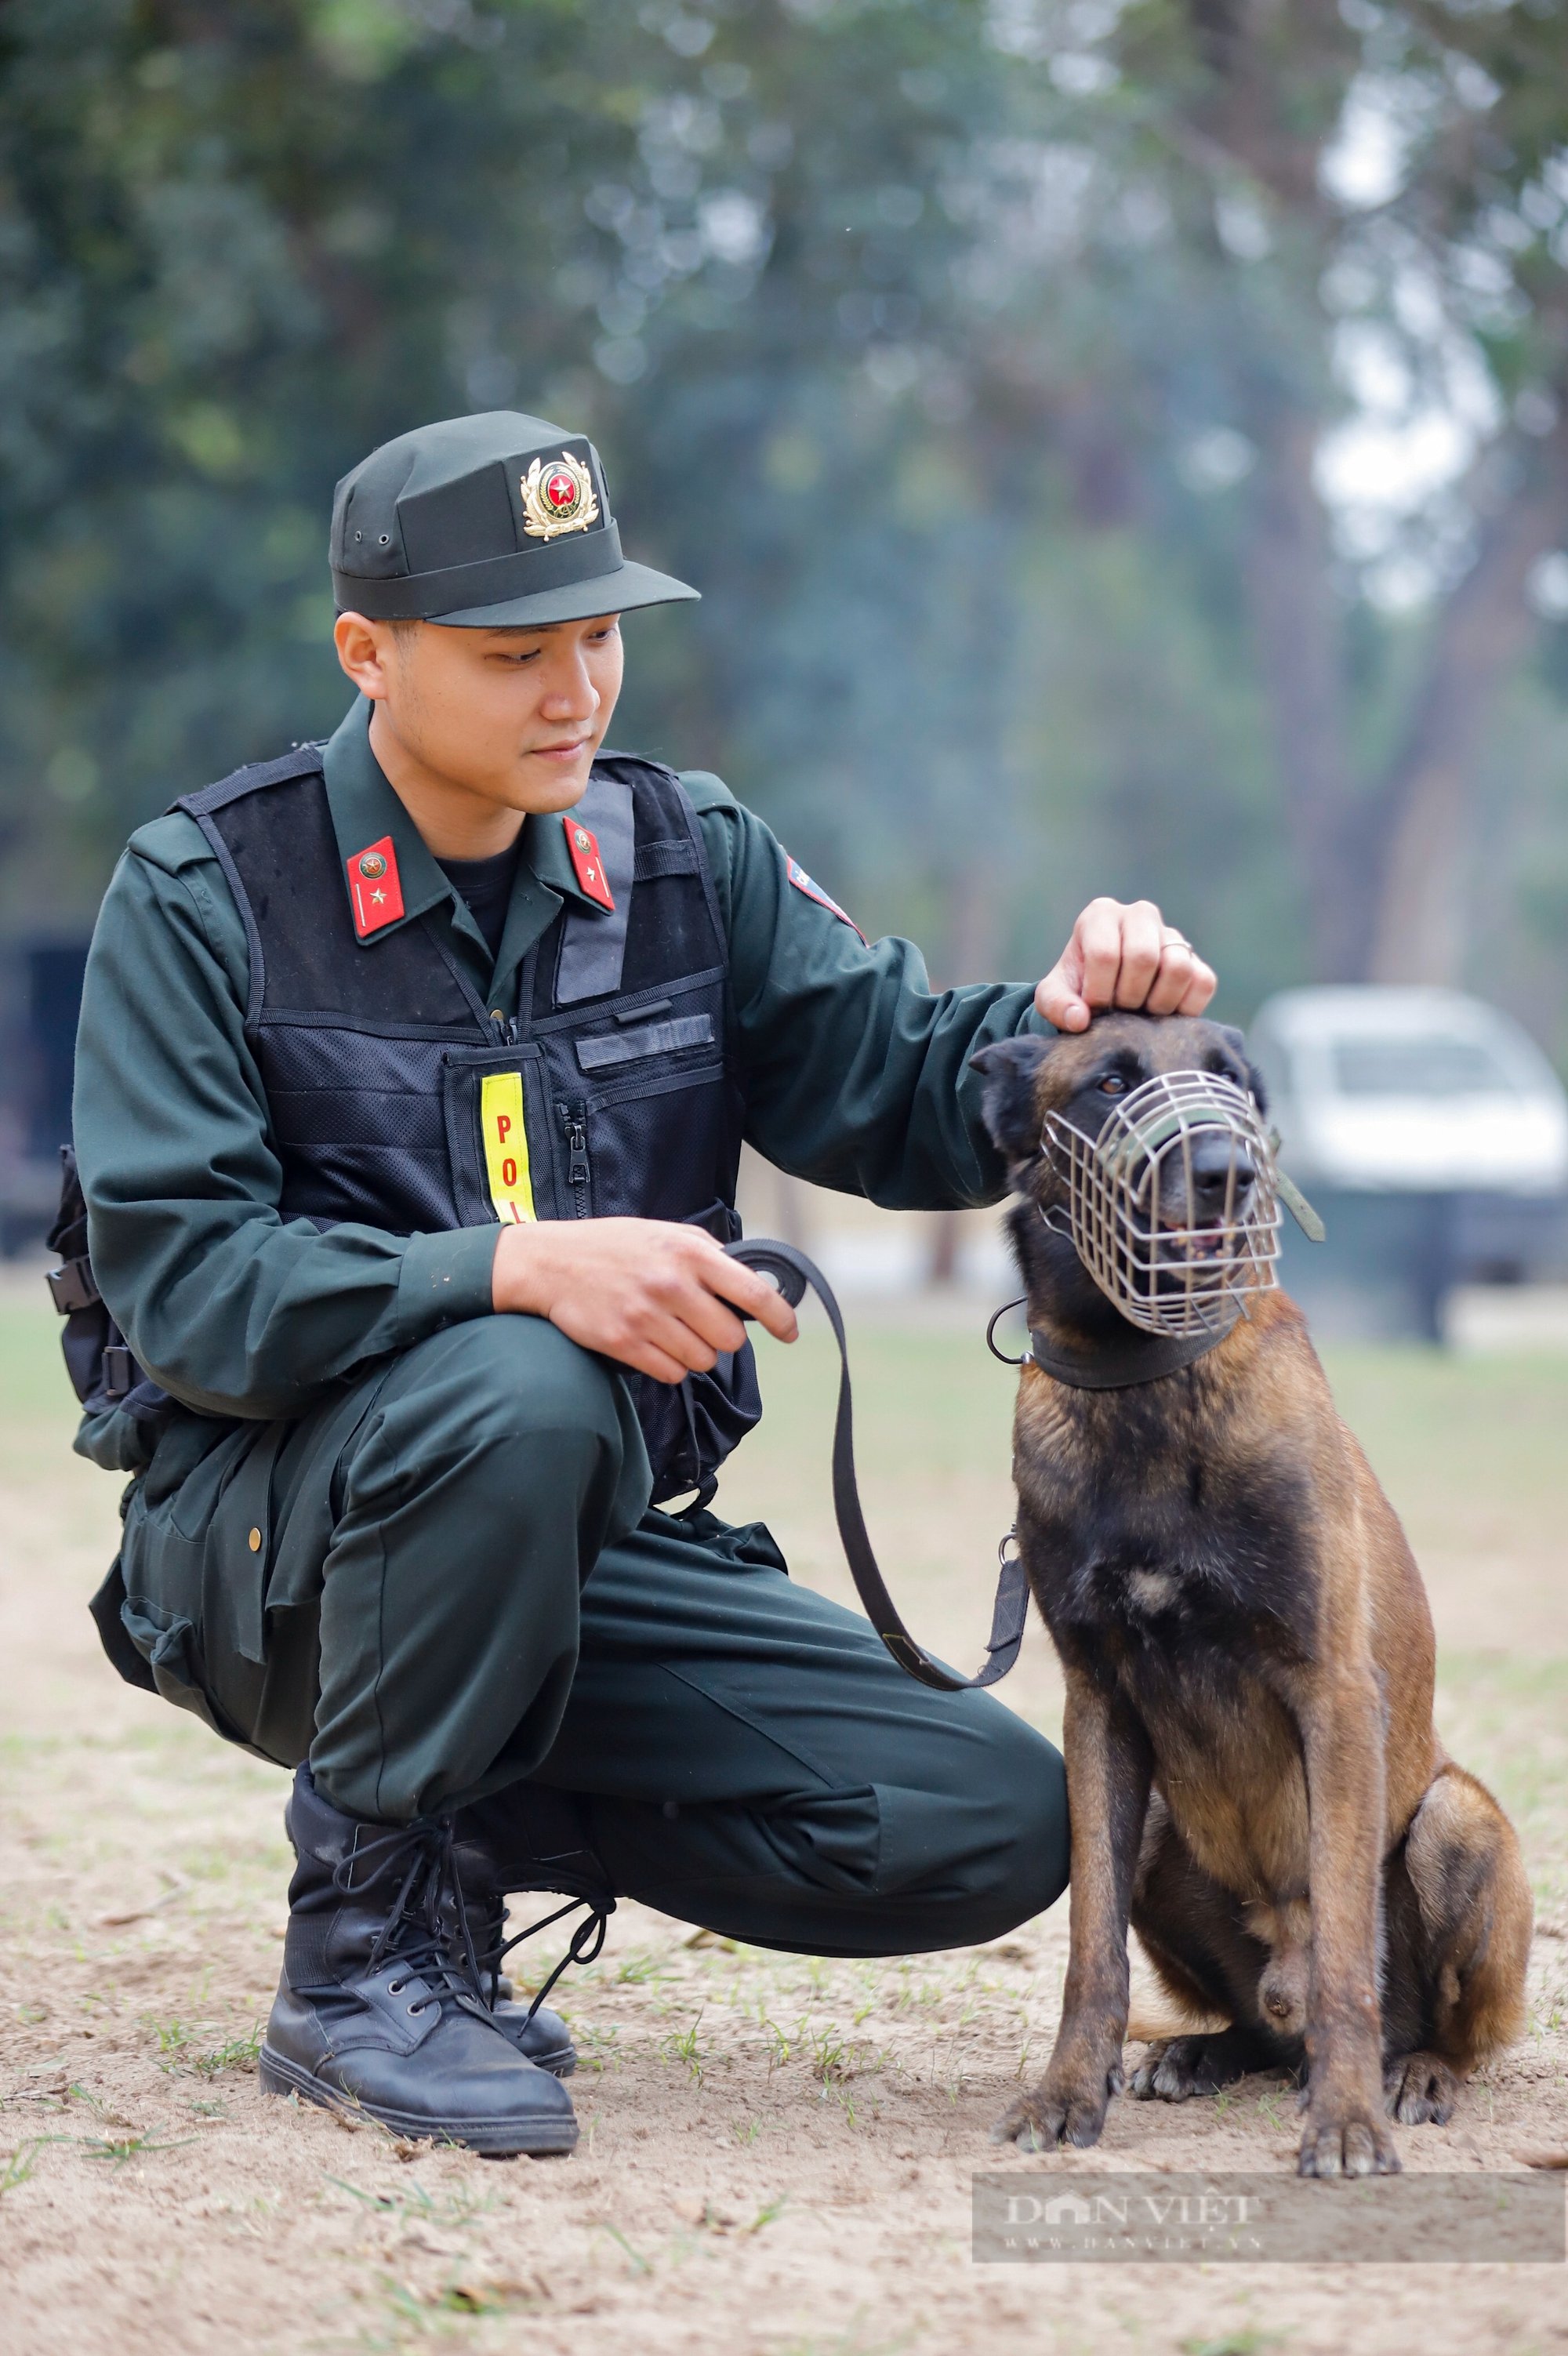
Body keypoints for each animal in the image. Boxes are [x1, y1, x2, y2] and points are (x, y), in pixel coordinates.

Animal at [965, 1013, 1525, 2167]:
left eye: (1233, 1085)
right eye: (1111, 1082)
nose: (1225, 1172)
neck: (1143, 1378)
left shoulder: (1333, 1694)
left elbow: (1352, 1947)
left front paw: (1347, 2120)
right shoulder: (1097, 1712)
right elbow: (1089, 1952)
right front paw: (1067, 2091)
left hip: (1456, 1820)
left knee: (1437, 2026)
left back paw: (1413, 2072)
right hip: (1156, 1828)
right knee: (1261, 2035)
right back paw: (1200, 2051)